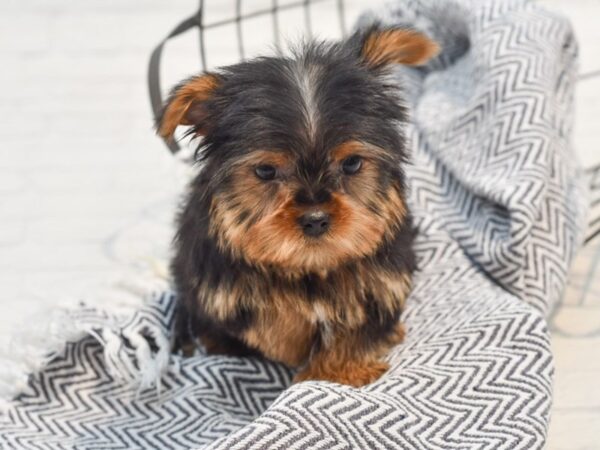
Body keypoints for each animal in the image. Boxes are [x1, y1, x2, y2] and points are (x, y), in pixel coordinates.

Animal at [158, 25, 440, 386]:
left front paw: (340, 370)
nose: (316, 219)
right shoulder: (223, 286)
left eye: (351, 164)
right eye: (266, 171)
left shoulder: (381, 282)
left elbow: (356, 323)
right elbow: (273, 321)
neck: (308, 267)